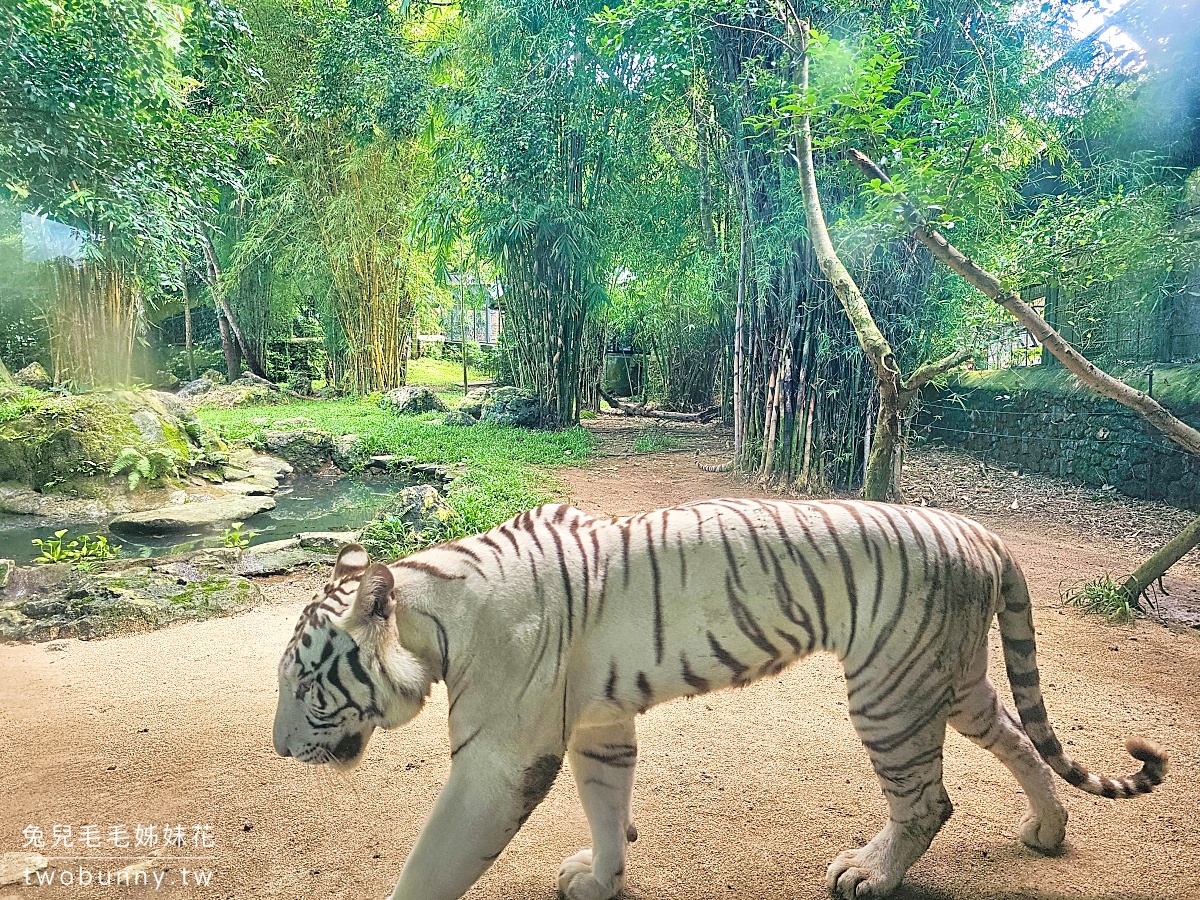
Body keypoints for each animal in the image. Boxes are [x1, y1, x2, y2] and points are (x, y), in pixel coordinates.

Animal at [270, 501, 1161, 900]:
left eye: (307, 684)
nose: (277, 749)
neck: (436, 621)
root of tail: (982, 532)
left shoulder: (498, 761)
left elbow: (431, 864)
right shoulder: (599, 723)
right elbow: (606, 804)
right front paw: (602, 876)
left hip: (890, 691)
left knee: (928, 800)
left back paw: (868, 874)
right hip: (949, 681)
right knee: (1019, 735)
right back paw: (1047, 829)